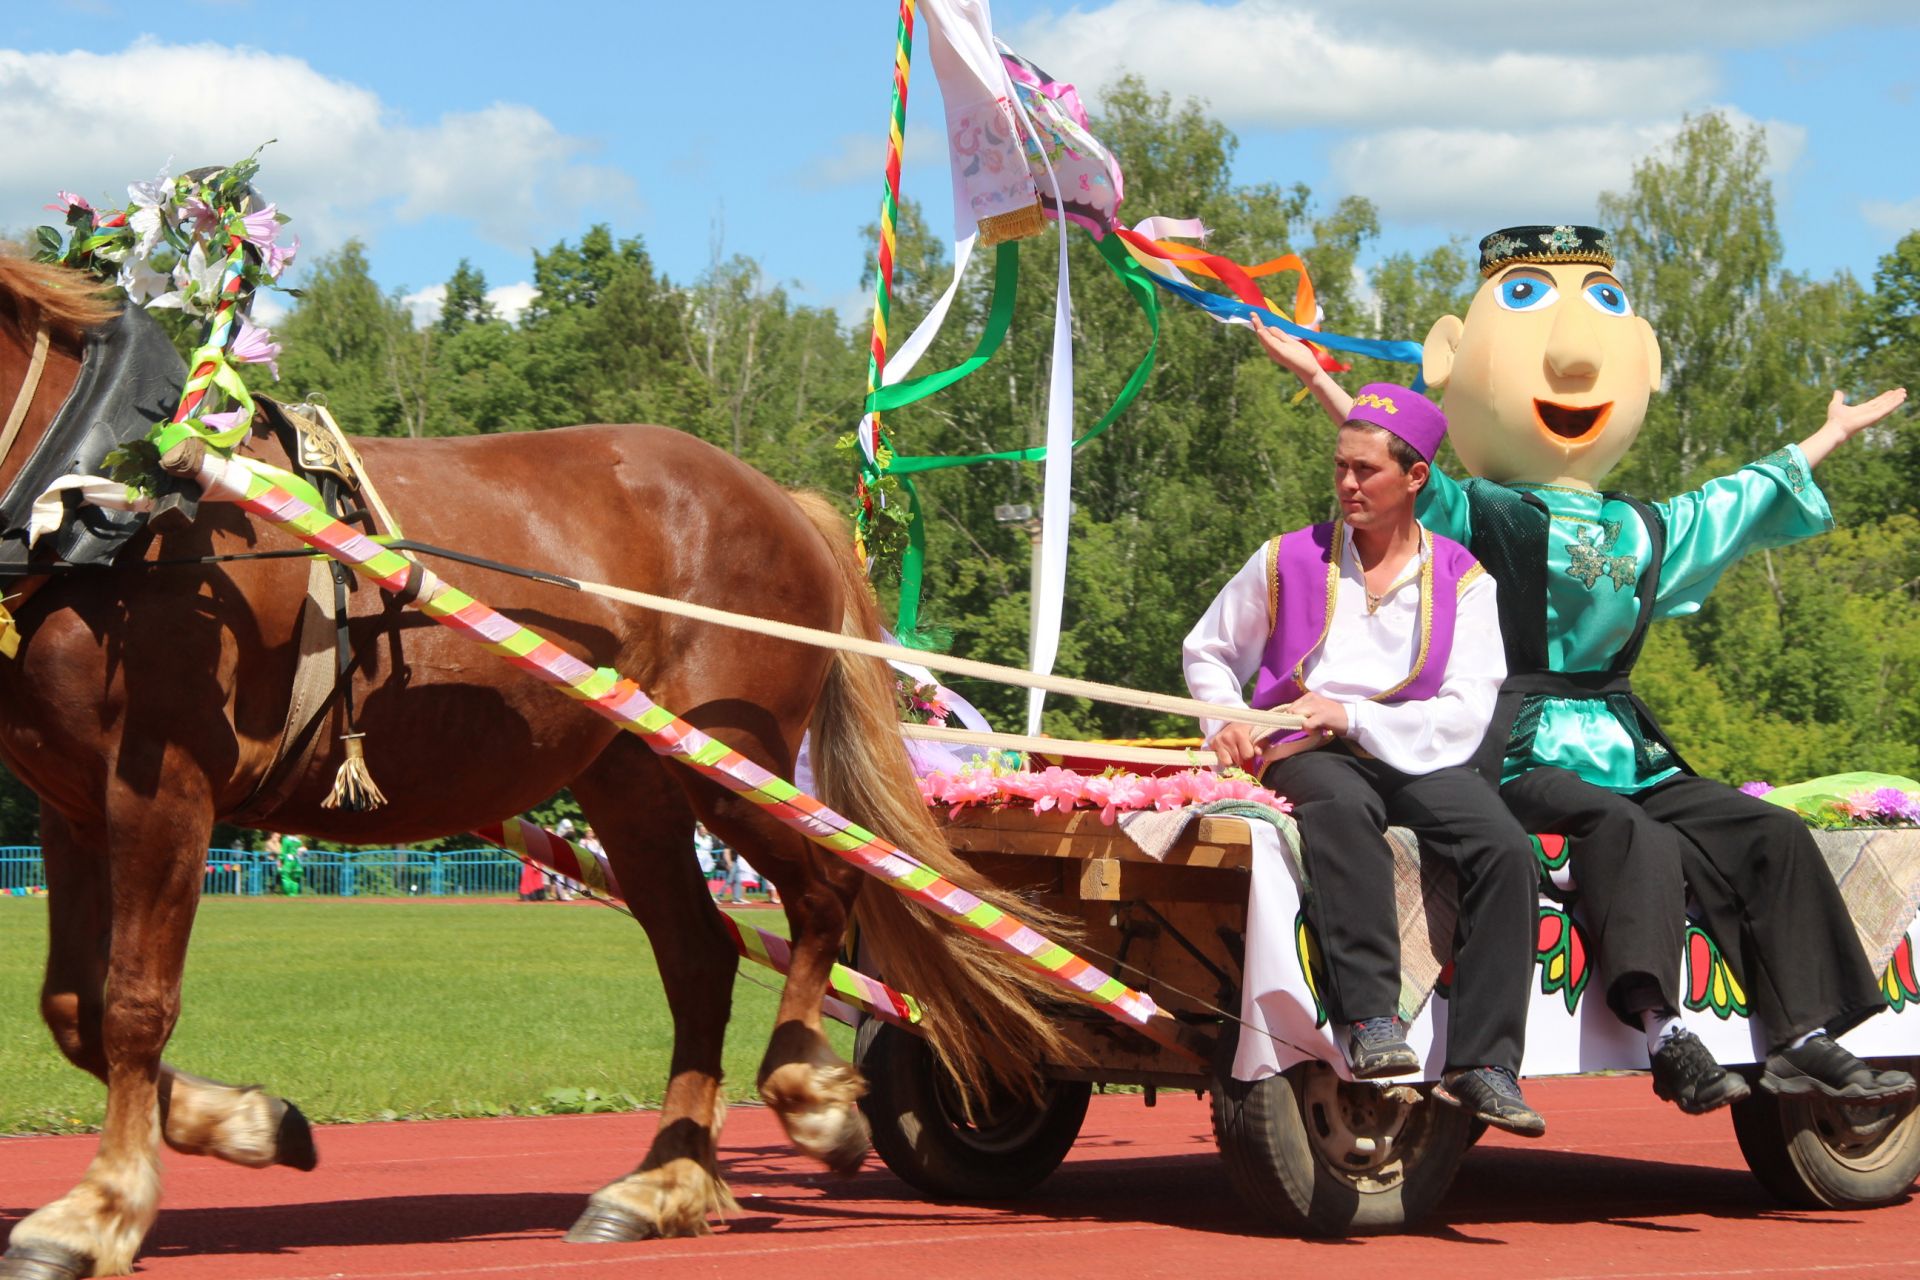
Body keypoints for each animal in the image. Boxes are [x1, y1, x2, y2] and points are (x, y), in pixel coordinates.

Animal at [0, 255, 1082, 1274]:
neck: (107, 493)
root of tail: (777, 497)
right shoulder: (74, 802)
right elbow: (72, 1007)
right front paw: (249, 1122)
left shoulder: (165, 784)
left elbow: (133, 1005)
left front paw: (104, 1205)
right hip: (632, 783)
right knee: (702, 956)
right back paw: (664, 1181)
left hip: (728, 763)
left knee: (824, 895)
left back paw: (808, 1088)